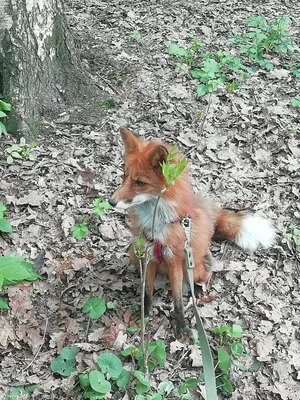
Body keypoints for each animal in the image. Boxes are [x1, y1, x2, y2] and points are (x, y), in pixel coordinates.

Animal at [109, 128, 276, 338]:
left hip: (191, 265)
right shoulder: (148, 256)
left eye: (140, 183)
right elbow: (147, 292)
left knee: (204, 274)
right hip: (134, 252)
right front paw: (144, 315)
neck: (157, 224)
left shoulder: (175, 261)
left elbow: (177, 299)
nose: (111, 202)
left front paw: (180, 325)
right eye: (124, 177)